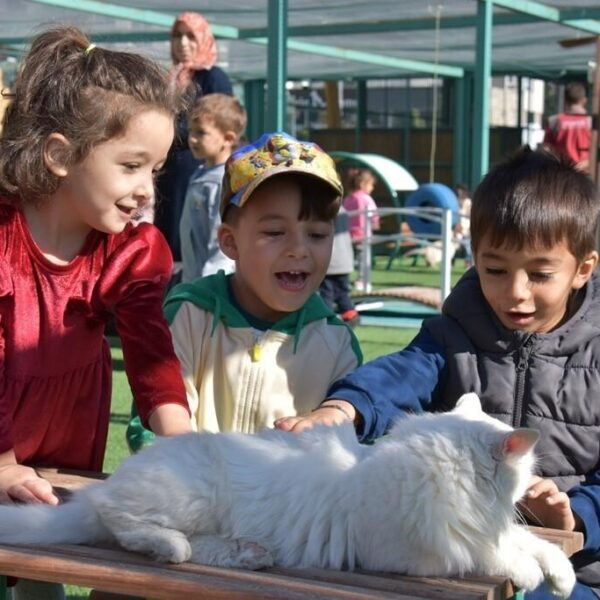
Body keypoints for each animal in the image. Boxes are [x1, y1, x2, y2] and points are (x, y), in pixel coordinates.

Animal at [0, 394, 576, 596]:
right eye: (525, 474)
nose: (531, 491)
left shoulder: (487, 527)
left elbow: (533, 543)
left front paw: (561, 575)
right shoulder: (423, 555)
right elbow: (490, 555)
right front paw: (528, 574)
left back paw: (250, 554)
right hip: (187, 494)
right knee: (124, 522)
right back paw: (176, 548)